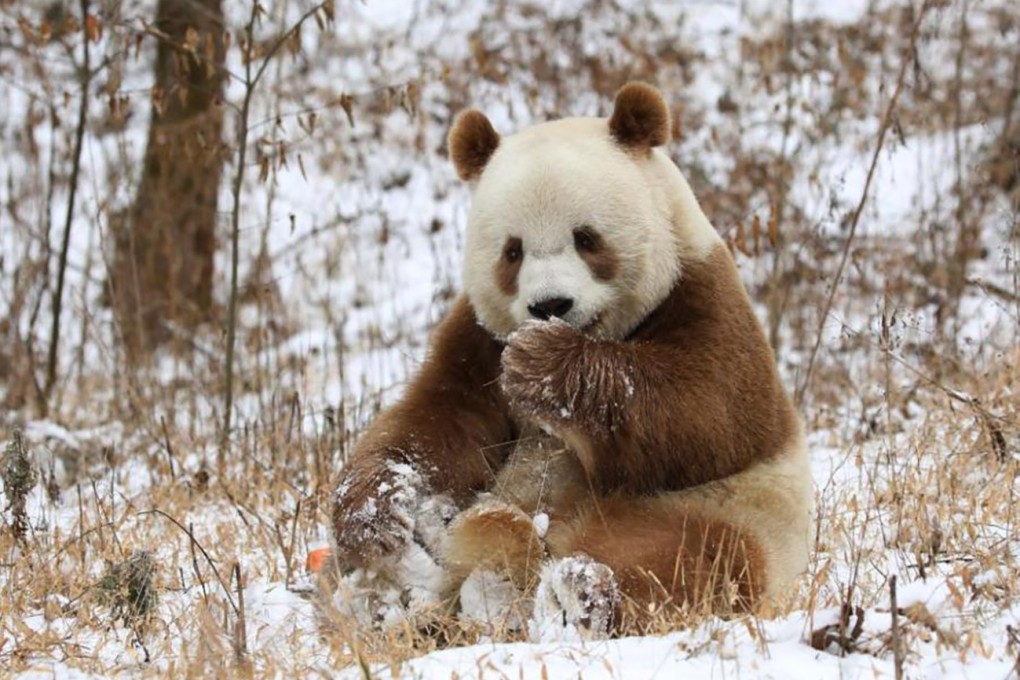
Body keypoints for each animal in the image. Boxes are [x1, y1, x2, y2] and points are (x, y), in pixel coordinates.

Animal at [330, 82, 807, 636]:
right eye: (512, 252)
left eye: (586, 238)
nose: (550, 305)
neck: (602, 334)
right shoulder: (477, 339)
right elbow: (437, 425)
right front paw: (377, 514)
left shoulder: (703, 294)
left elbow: (710, 413)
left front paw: (542, 365)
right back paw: (403, 598)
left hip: (720, 510)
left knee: (694, 559)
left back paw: (576, 592)